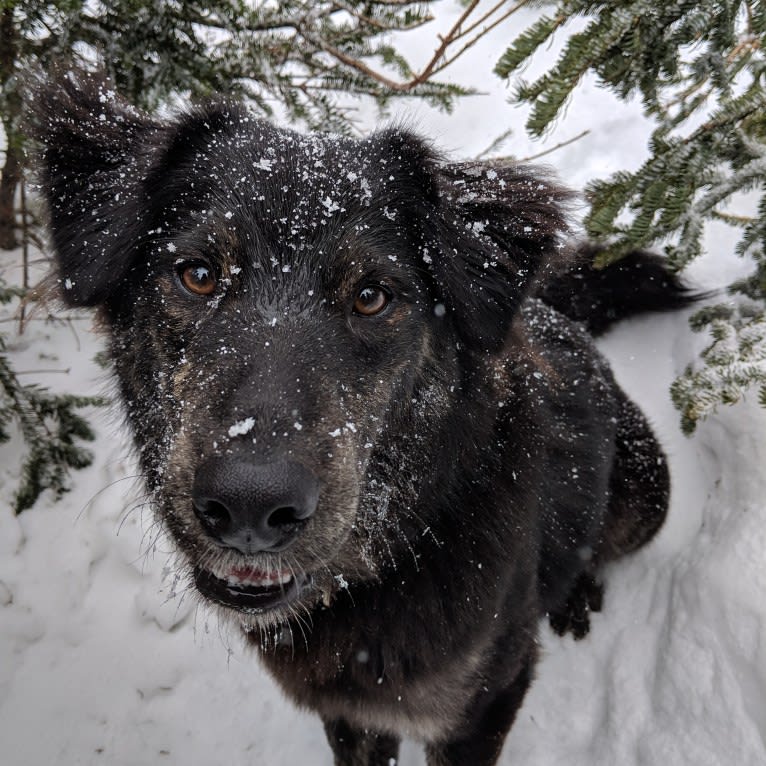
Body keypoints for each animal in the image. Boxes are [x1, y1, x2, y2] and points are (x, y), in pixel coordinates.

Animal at [28, 73, 688, 766]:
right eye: (198, 275)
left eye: (371, 296)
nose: (249, 508)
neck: (400, 550)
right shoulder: (350, 713)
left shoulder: (484, 702)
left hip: (645, 494)